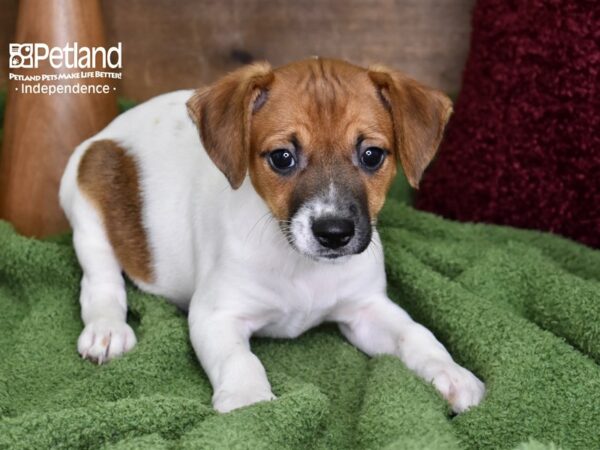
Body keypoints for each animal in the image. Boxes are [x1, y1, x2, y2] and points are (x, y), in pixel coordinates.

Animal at [58, 58, 486, 414]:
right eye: (282, 158)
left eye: (372, 155)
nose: (334, 233)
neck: (300, 262)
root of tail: (106, 134)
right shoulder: (215, 314)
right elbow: (240, 359)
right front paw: (249, 401)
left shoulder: (367, 309)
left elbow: (416, 334)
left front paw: (451, 373)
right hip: (87, 214)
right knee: (100, 282)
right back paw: (107, 329)